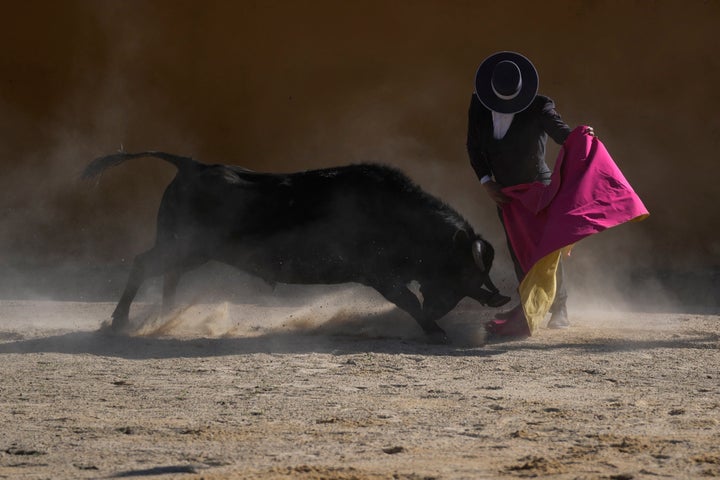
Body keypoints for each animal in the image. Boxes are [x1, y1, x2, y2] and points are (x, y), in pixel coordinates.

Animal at [81, 152, 510, 340]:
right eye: (462, 267)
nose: (496, 297)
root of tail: (192, 165)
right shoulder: (380, 274)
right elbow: (407, 301)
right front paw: (434, 329)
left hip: (190, 251)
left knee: (168, 276)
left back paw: (164, 317)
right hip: (184, 246)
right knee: (143, 264)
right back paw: (119, 322)